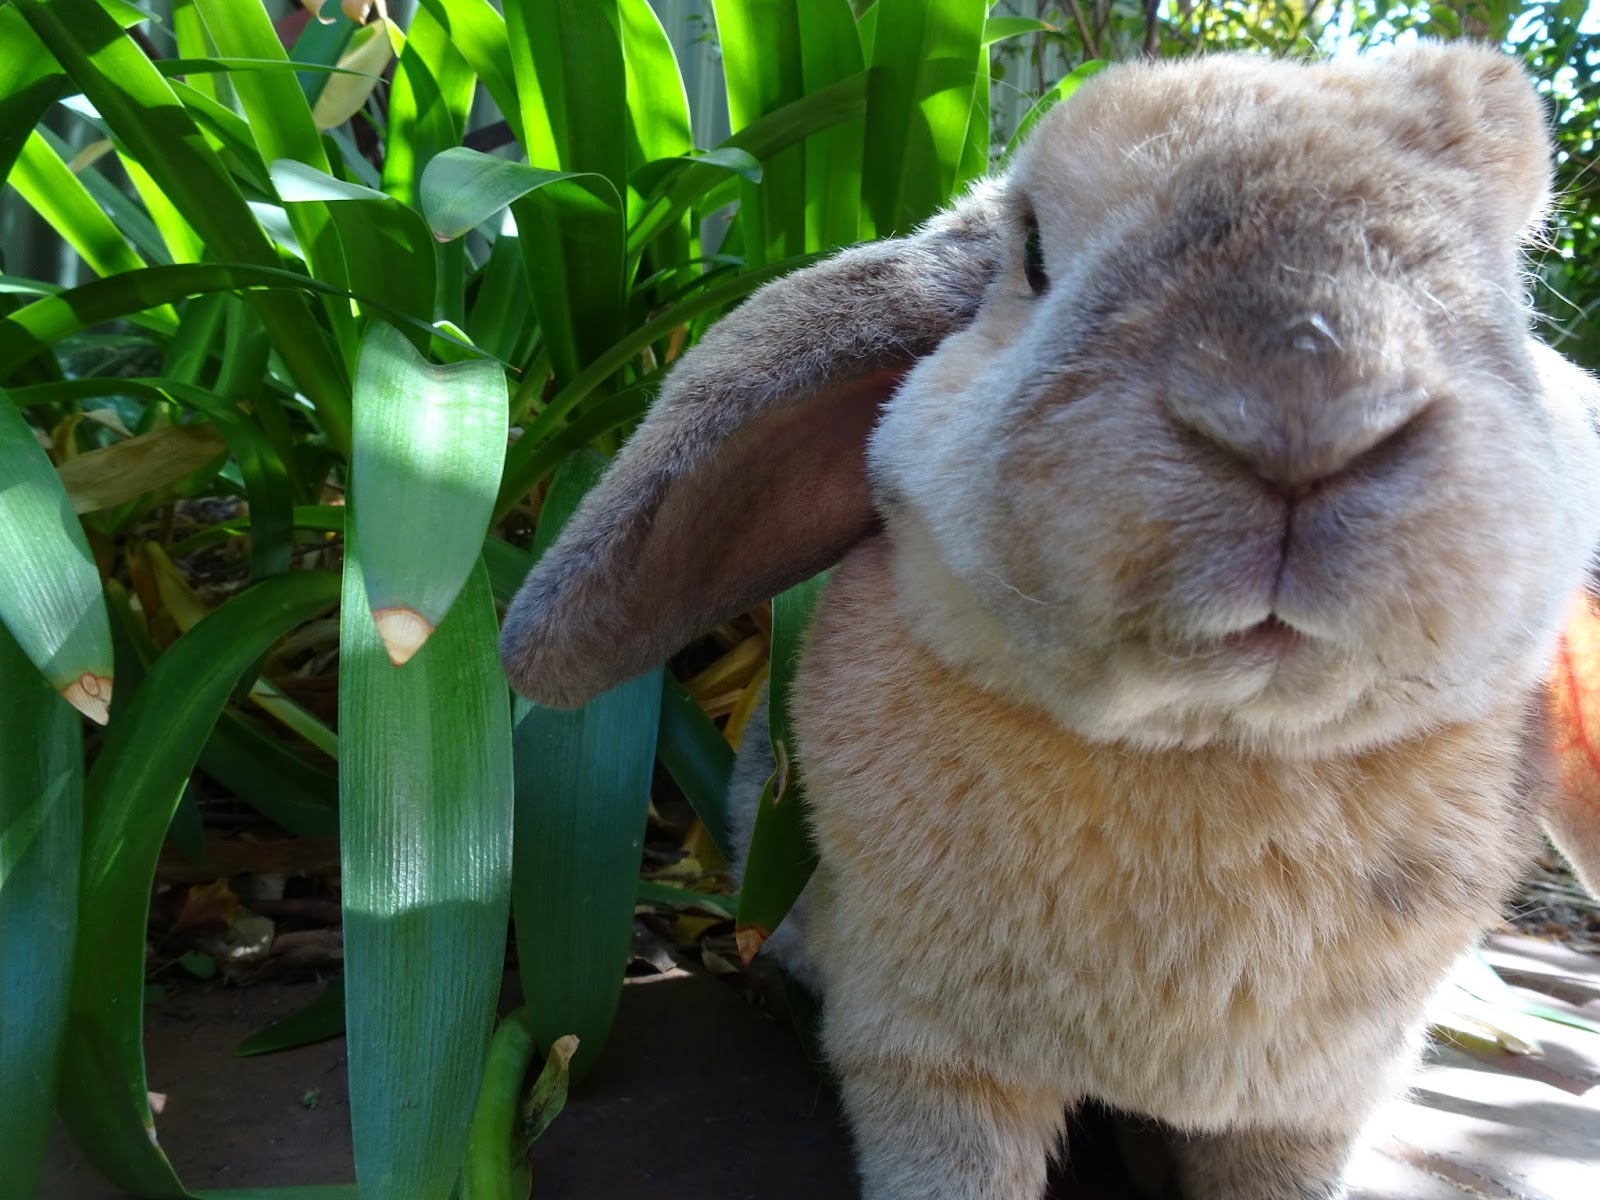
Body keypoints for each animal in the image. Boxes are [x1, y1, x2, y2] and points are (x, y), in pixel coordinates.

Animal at [499, 43, 1600, 1200]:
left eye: (1514, 286)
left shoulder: (1311, 1107)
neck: (1219, 747)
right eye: (1032, 255)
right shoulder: (924, 1059)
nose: (1306, 405)